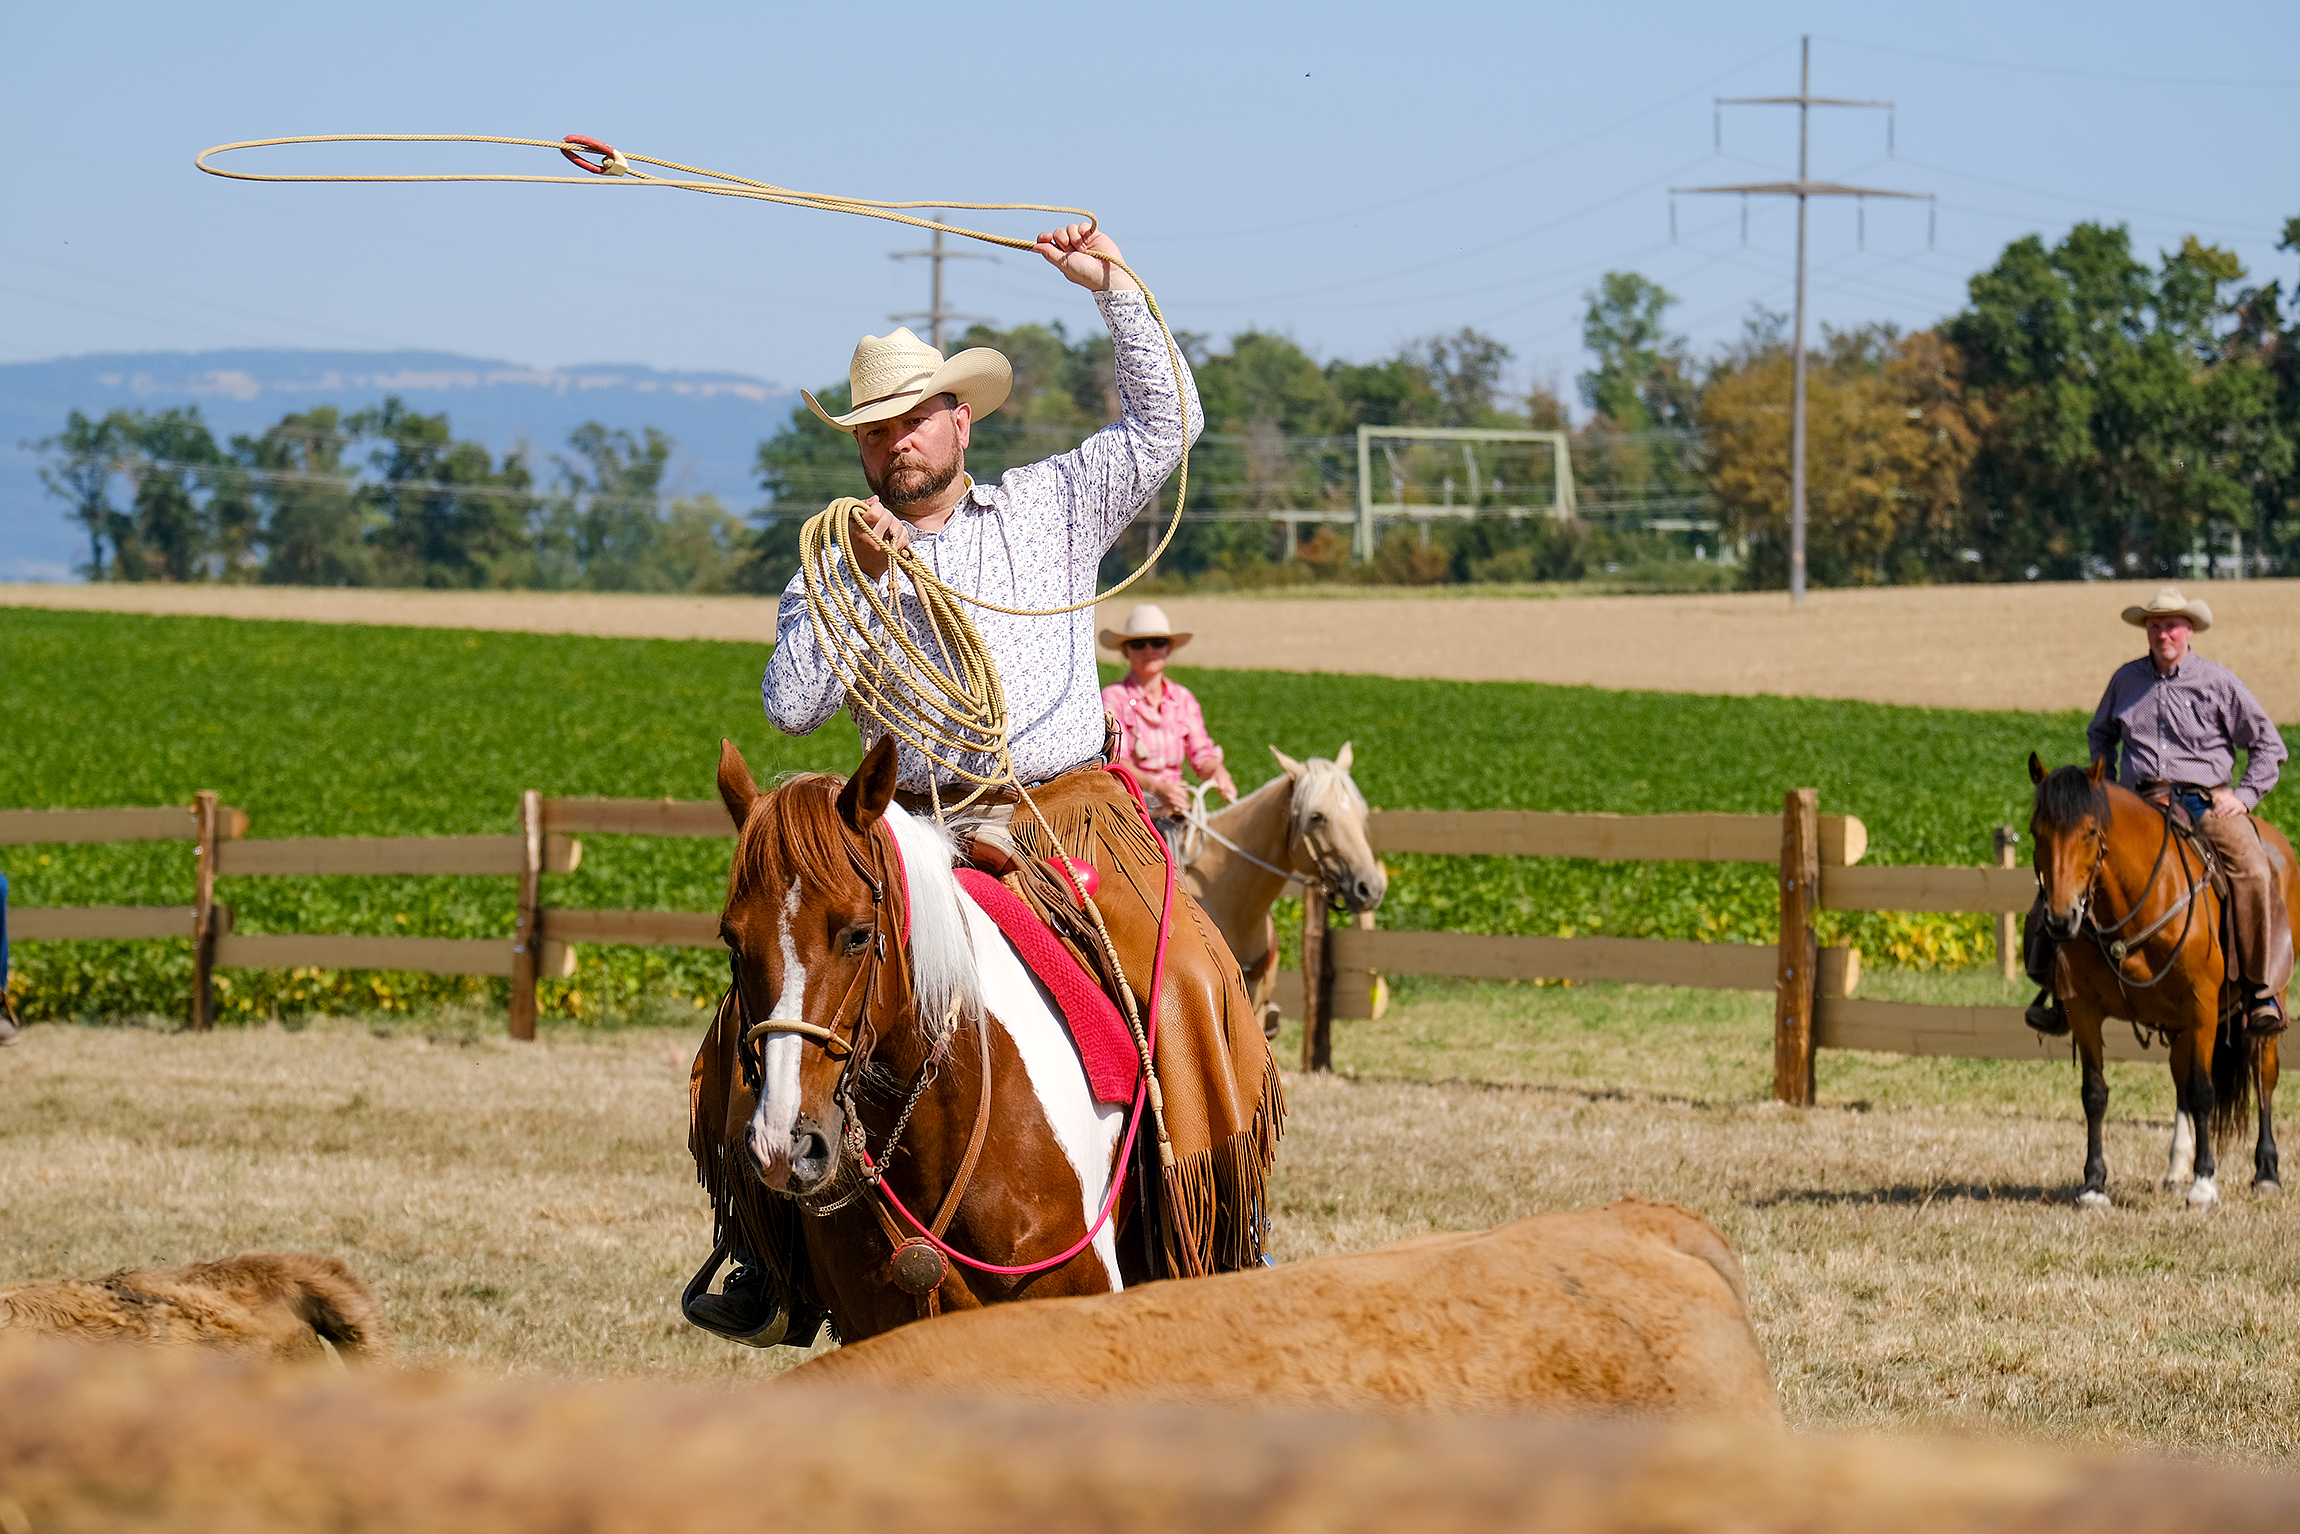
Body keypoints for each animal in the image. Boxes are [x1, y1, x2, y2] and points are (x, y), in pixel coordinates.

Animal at [2033, 754, 2281, 1214]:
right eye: (2036, 830)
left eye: (2090, 831)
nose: (2060, 918)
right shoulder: (2083, 1008)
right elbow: (2094, 1093)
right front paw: (2093, 1184)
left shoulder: (2202, 1005)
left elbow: (2203, 1091)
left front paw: (2204, 1185)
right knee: (2180, 1078)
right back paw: (2176, 1167)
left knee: (2263, 1079)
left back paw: (2267, 1172)